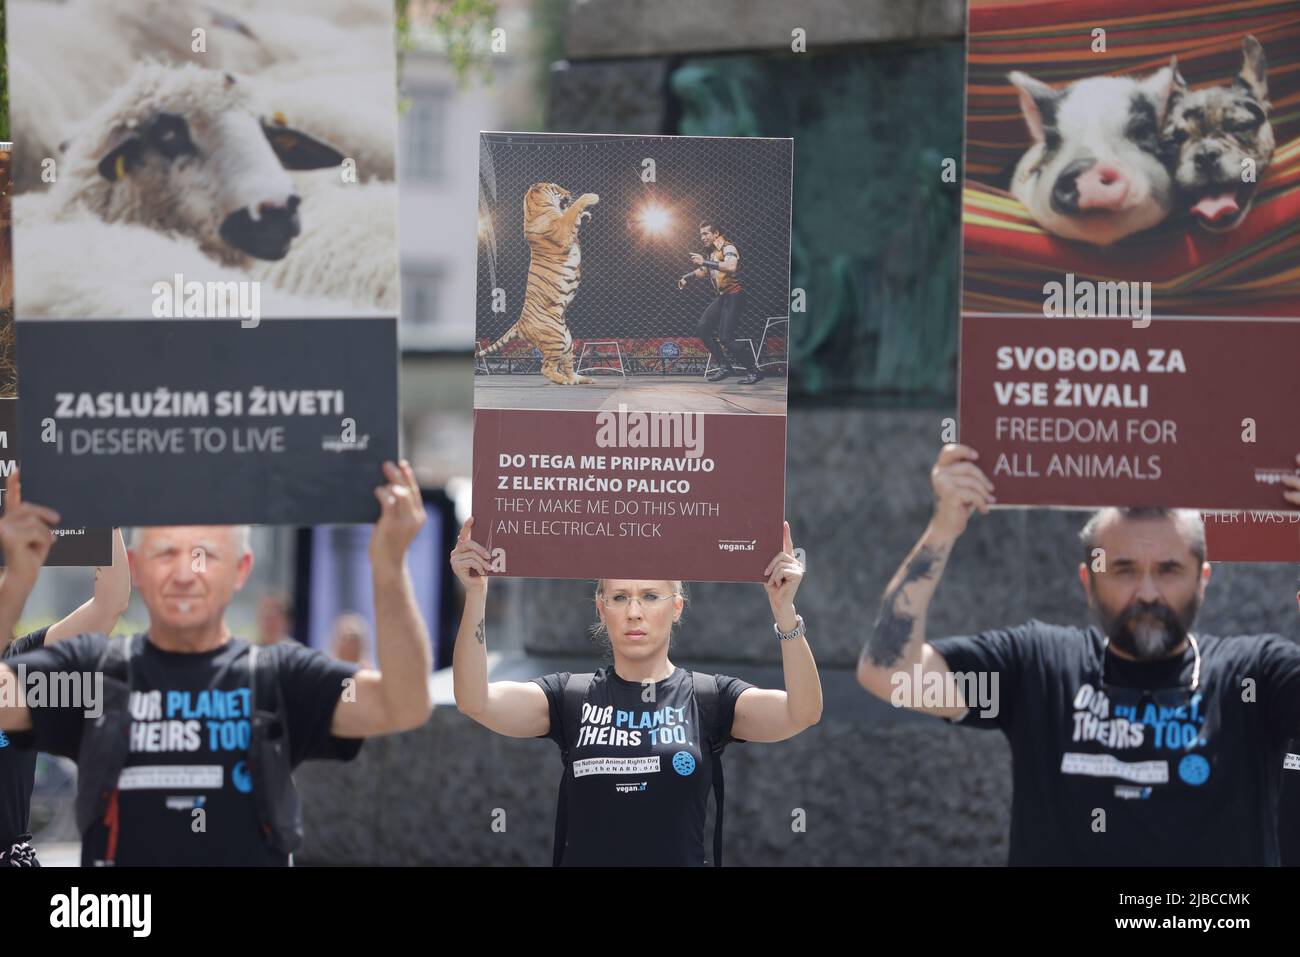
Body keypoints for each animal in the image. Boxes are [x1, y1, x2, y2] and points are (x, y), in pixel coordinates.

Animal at [475, 183, 600, 384]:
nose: (568, 192)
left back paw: (581, 379)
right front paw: (591, 197)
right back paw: (563, 380)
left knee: (567, 366)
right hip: (555, 338)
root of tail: (519, 323)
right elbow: (573, 210)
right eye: (557, 188)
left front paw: (586, 215)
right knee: (546, 368)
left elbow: (573, 212)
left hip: (567, 341)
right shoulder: (561, 229)